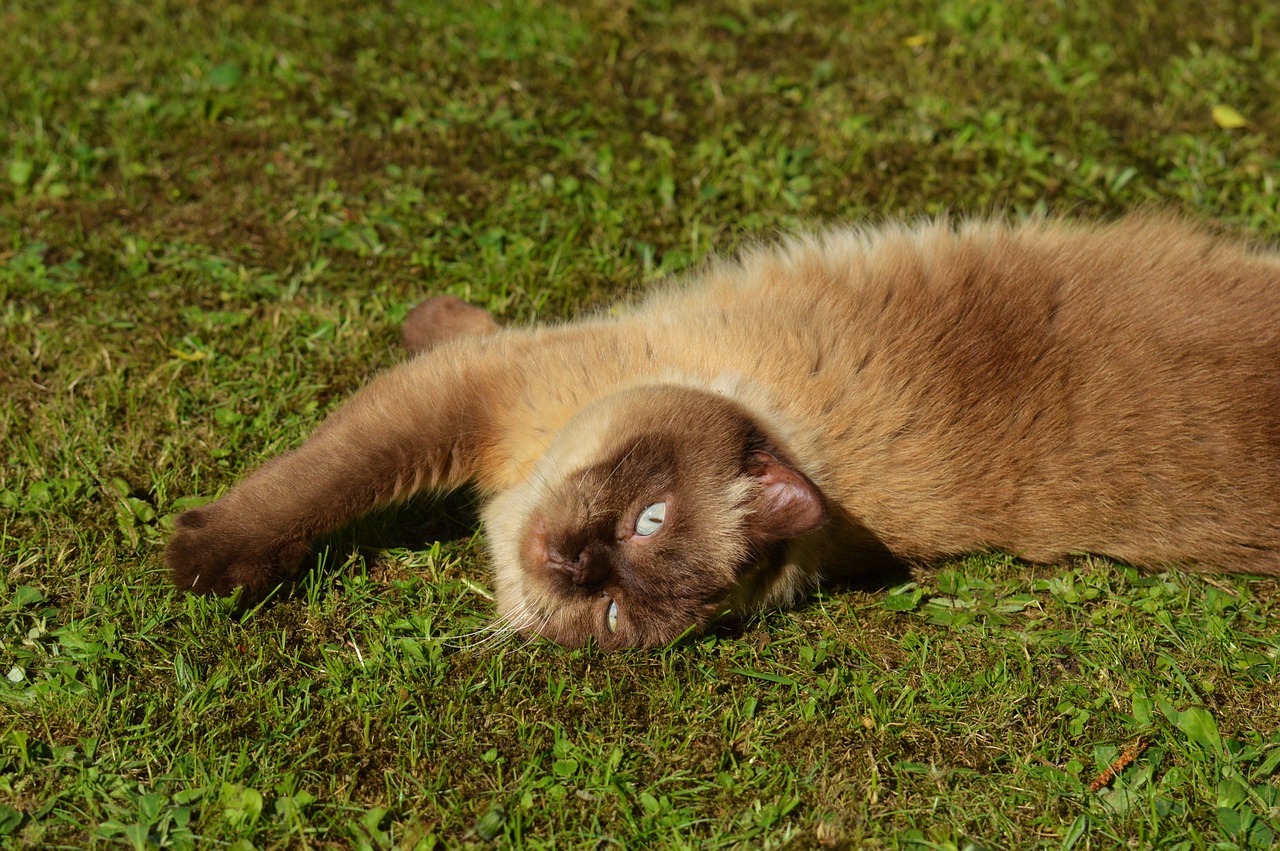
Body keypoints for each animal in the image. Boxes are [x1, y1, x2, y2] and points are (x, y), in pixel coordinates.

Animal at [167, 216, 1280, 647]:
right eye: (648, 517)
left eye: (613, 613)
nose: (572, 561)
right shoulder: (485, 389)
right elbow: (338, 462)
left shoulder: (486, 395)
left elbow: (328, 473)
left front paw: (195, 565)